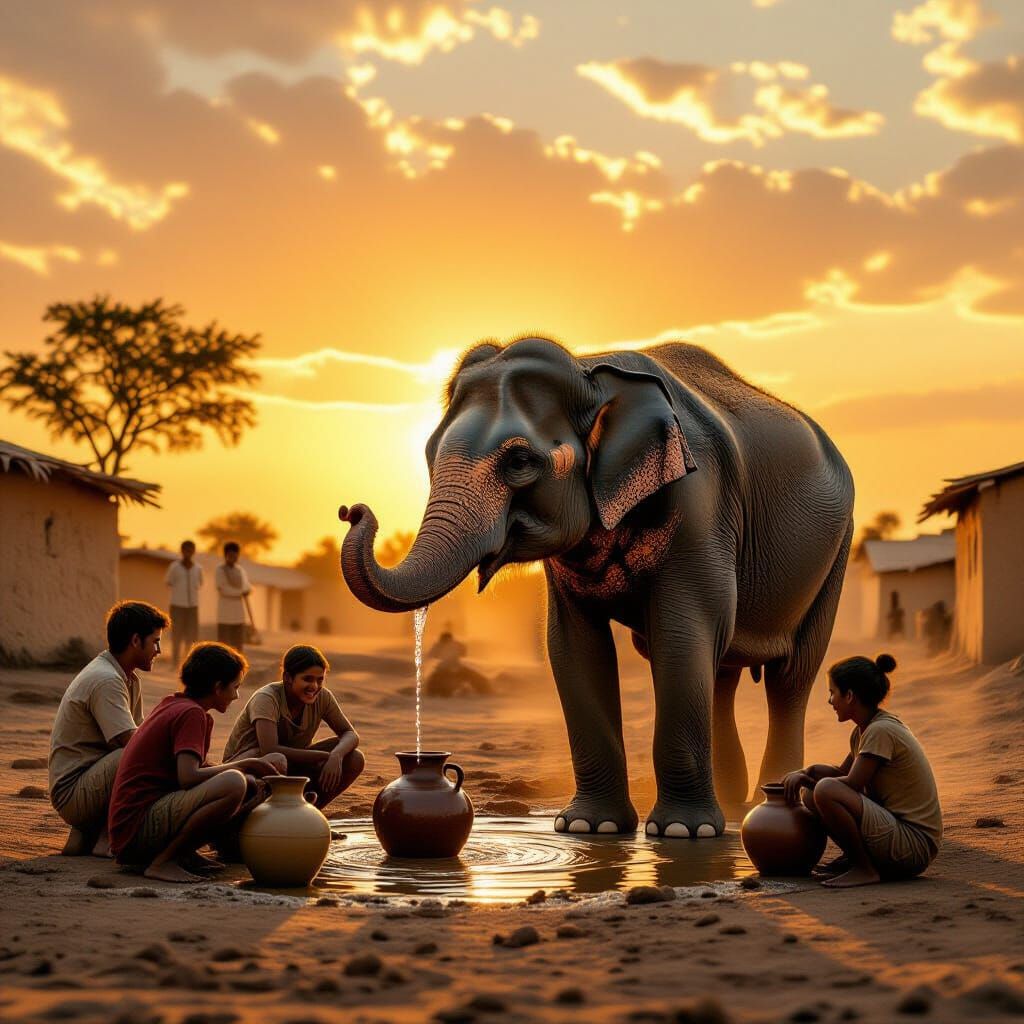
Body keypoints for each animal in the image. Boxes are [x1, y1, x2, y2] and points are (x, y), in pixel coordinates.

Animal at [339, 336, 854, 839]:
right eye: (429, 452)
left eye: (519, 461)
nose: (350, 509)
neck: (591, 370)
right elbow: (573, 647)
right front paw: (589, 827)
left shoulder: (699, 502)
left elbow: (683, 635)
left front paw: (682, 833)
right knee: (723, 670)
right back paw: (731, 805)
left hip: (837, 551)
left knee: (791, 676)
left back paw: (762, 799)